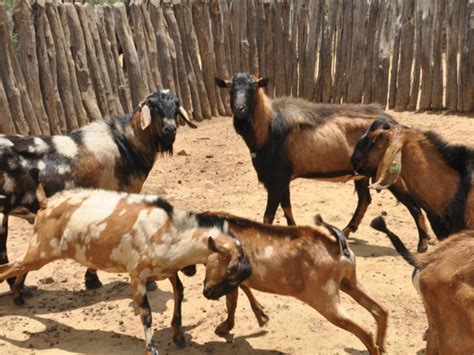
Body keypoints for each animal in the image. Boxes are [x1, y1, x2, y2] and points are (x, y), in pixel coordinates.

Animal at [217, 73, 432, 253]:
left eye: (253, 86)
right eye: (230, 87)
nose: (240, 109)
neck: (267, 129)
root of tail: (396, 125)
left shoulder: (277, 179)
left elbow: (268, 216)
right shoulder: (283, 179)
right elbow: (287, 208)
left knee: (412, 204)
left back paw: (423, 243)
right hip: (362, 172)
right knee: (364, 199)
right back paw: (346, 231)